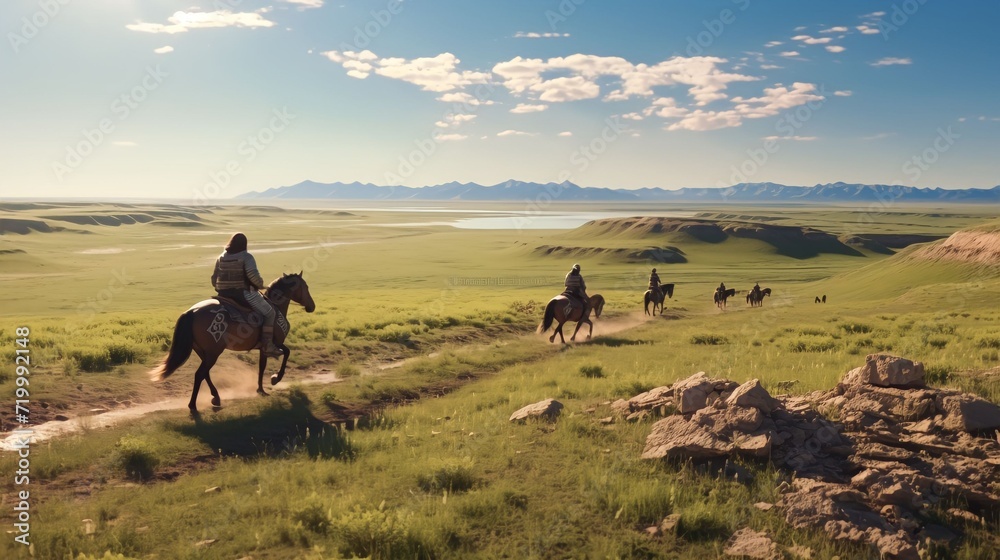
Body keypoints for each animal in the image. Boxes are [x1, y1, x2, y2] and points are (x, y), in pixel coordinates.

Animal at [146, 272, 312, 412]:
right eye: (306, 287)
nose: (312, 306)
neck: (276, 306)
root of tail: (192, 311)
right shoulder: (274, 343)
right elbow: (287, 352)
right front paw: (275, 379)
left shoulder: (263, 349)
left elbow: (262, 367)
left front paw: (261, 389)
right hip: (213, 353)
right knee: (200, 374)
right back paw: (193, 405)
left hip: (204, 352)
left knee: (205, 373)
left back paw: (215, 397)